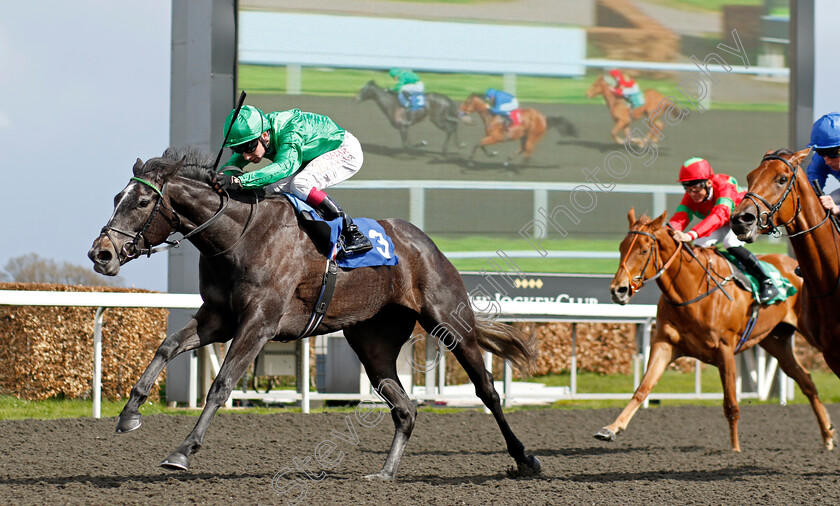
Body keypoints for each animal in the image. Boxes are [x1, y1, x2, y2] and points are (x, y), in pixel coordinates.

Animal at [87, 145, 544, 478]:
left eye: (142, 201)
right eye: (117, 197)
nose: (101, 253)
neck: (239, 235)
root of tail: (426, 243)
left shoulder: (259, 322)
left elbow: (221, 384)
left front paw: (182, 451)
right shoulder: (219, 317)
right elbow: (166, 347)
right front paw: (129, 415)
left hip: (449, 321)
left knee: (487, 390)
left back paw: (525, 459)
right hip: (372, 341)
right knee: (405, 408)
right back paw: (384, 473)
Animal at [596, 208, 832, 452]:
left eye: (643, 250)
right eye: (621, 248)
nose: (618, 290)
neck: (692, 291)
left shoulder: (725, 349)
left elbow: (731, 404)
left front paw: (735, 449)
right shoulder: (664, 343)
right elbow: (642, 389)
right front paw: (611, 428)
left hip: (813, 333)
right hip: (776, 341)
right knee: (806, 381)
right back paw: (827, 436)